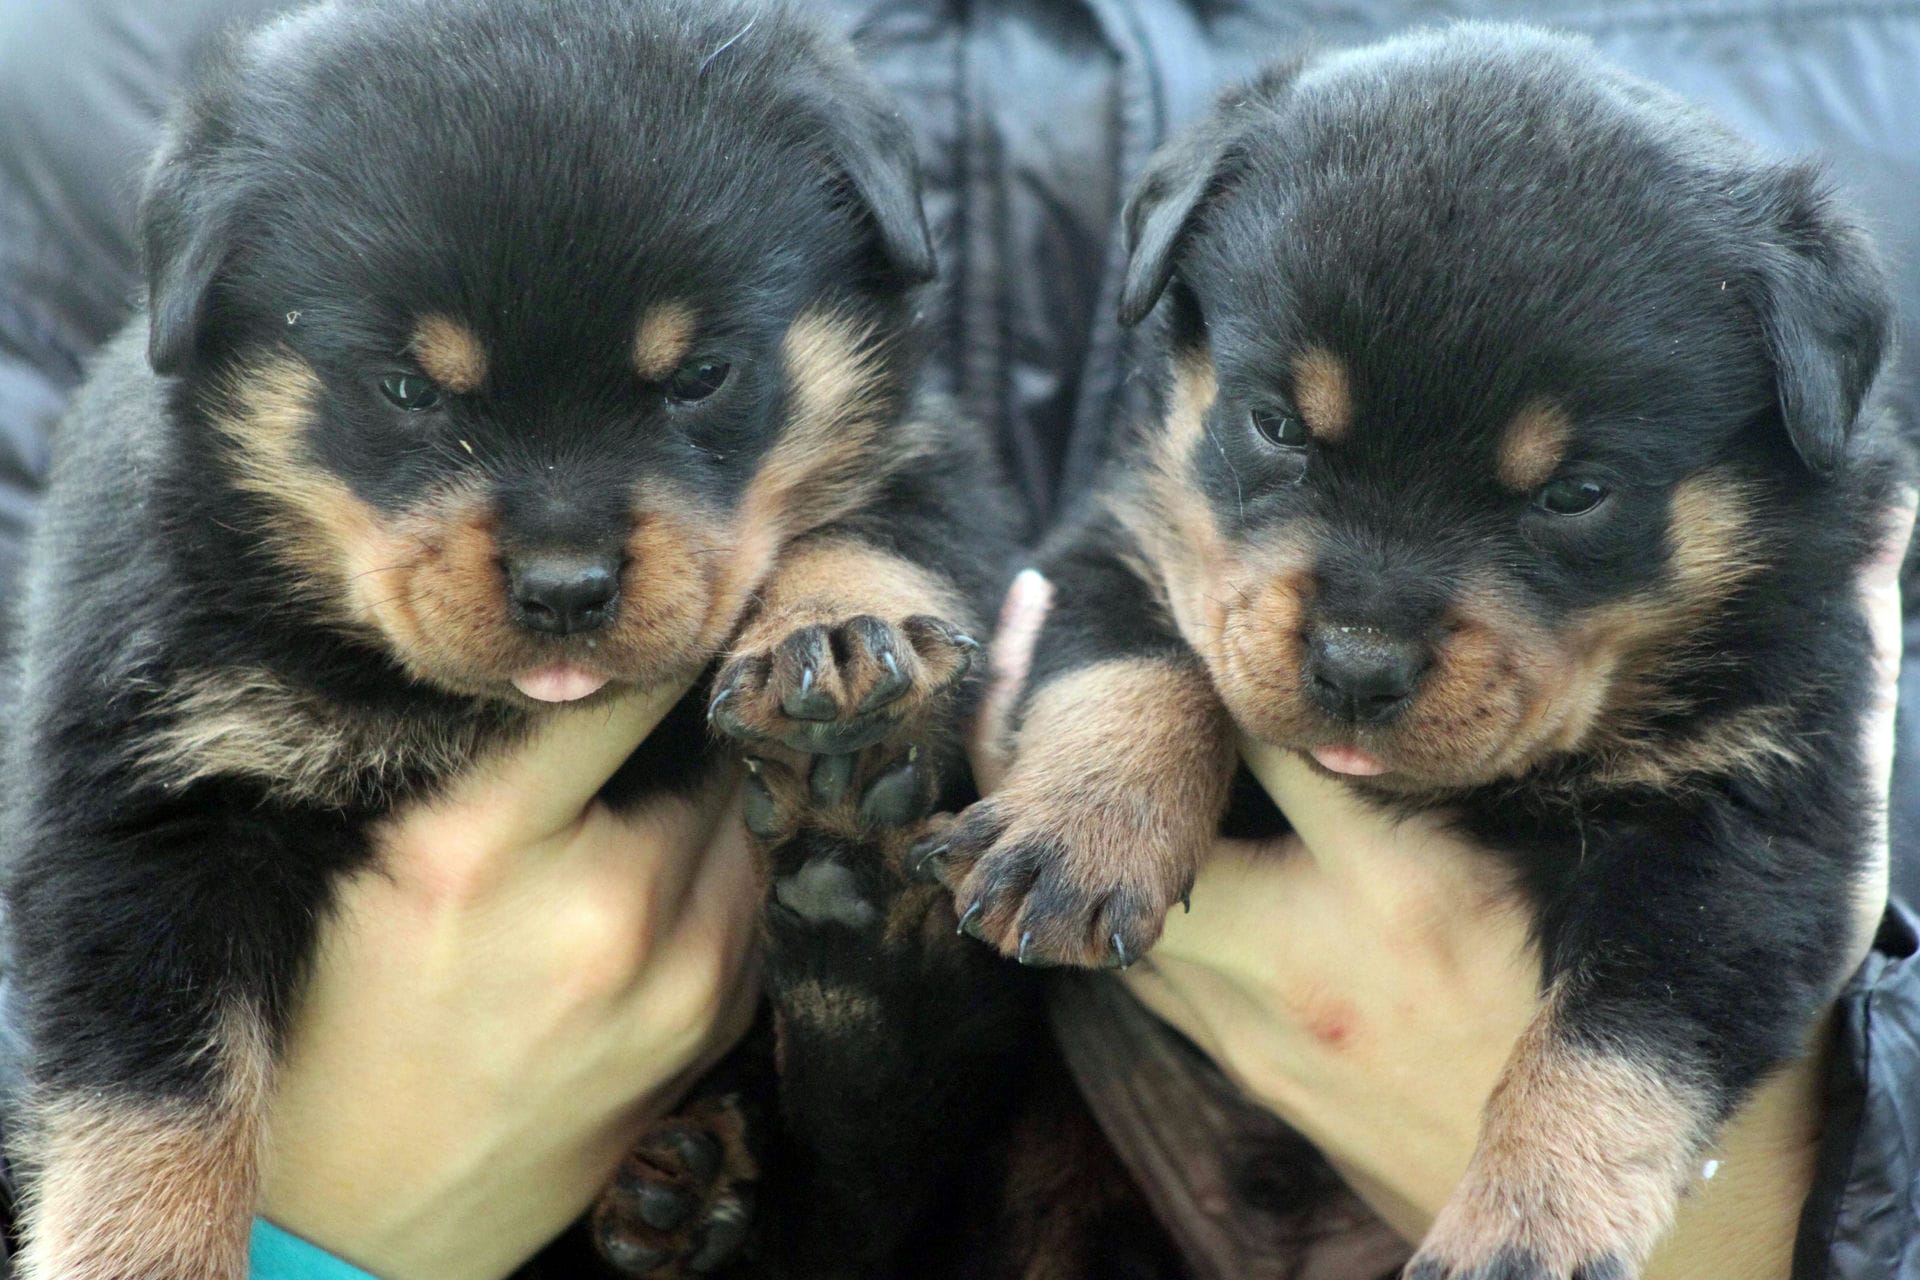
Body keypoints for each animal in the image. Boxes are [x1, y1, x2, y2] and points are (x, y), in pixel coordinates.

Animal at [0, 1, 1044, 1275]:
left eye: (703, 373)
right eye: (405, 388)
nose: (564, 587)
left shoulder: (932, 454)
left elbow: (879, 509)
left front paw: (836, 622)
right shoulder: (152, 803)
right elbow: (152, 1120)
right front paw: (146, 1248)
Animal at [921, 23, 1907, 1278]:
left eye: (1575, 493)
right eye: (1275, 424)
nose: (1357, 662)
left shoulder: (1756, 825)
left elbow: (1620, 1040)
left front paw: (1527, 1224)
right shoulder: (1121, 539)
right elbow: (1139, 659)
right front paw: (1084, 835)